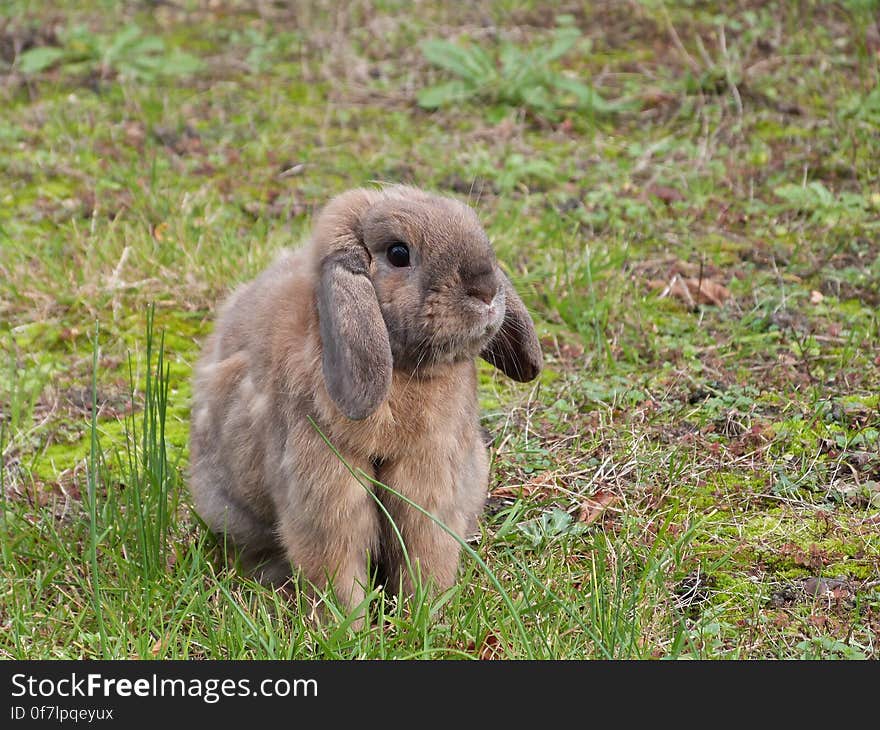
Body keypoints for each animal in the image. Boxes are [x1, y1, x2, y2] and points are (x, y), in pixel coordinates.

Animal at [189, 183, 540, 616]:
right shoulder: (325, 491)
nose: (487, 291)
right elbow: (337, 562)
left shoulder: (431, 481)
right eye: (398, 253)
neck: (404, 369)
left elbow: (426, 549)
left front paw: (423, 614)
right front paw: (346, 623)